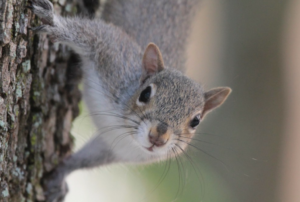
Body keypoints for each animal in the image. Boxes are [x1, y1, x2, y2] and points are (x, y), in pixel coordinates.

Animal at [28, 0, 232, 200]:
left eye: (196, 121)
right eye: (145, 94)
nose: (157, 138)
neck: (123, 123)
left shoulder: (118, 146)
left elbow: (88, 157)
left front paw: (61, 175)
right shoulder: (116, 57)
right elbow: (94, 34)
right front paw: (54, 23)